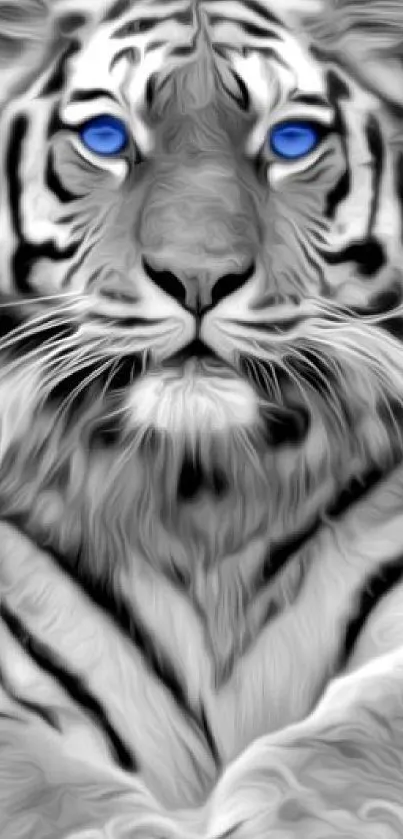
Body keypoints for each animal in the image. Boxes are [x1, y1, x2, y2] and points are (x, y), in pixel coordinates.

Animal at [1, 0, 403, 836]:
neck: (200, 487)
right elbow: (47, 788)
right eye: (106, 138)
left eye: (289, 142)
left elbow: (361, 728)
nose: (197, 277)